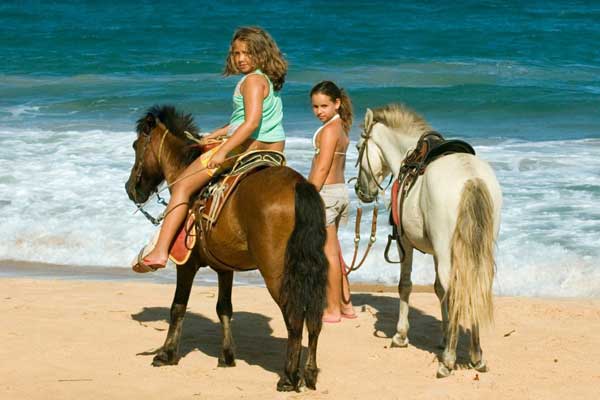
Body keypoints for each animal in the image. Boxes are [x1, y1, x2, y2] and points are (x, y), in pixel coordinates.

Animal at [123, 105, 328, 390]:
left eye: (136, 145)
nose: (131, 188)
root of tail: (299, 185)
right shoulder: (224, 268)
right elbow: (224, 308)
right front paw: (227, 355)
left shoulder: (187, 264)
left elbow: (178, 306)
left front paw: (167, 353)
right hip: (310, 267)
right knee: (314, 317)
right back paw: (309, 372)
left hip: (276, 271)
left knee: (295, 316)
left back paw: (289, 376)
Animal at [356, 104, 502, 378]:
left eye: (359, 147)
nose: (361, 191)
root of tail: (471, 178)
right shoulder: (435, 251)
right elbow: (438, 290)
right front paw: (444, 337)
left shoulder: (404, 242)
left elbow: (406, 285)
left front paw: (401, 335)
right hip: (477, 252)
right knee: (475, 286)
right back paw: (476, 355)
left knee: (456, 289)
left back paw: (449, 361)